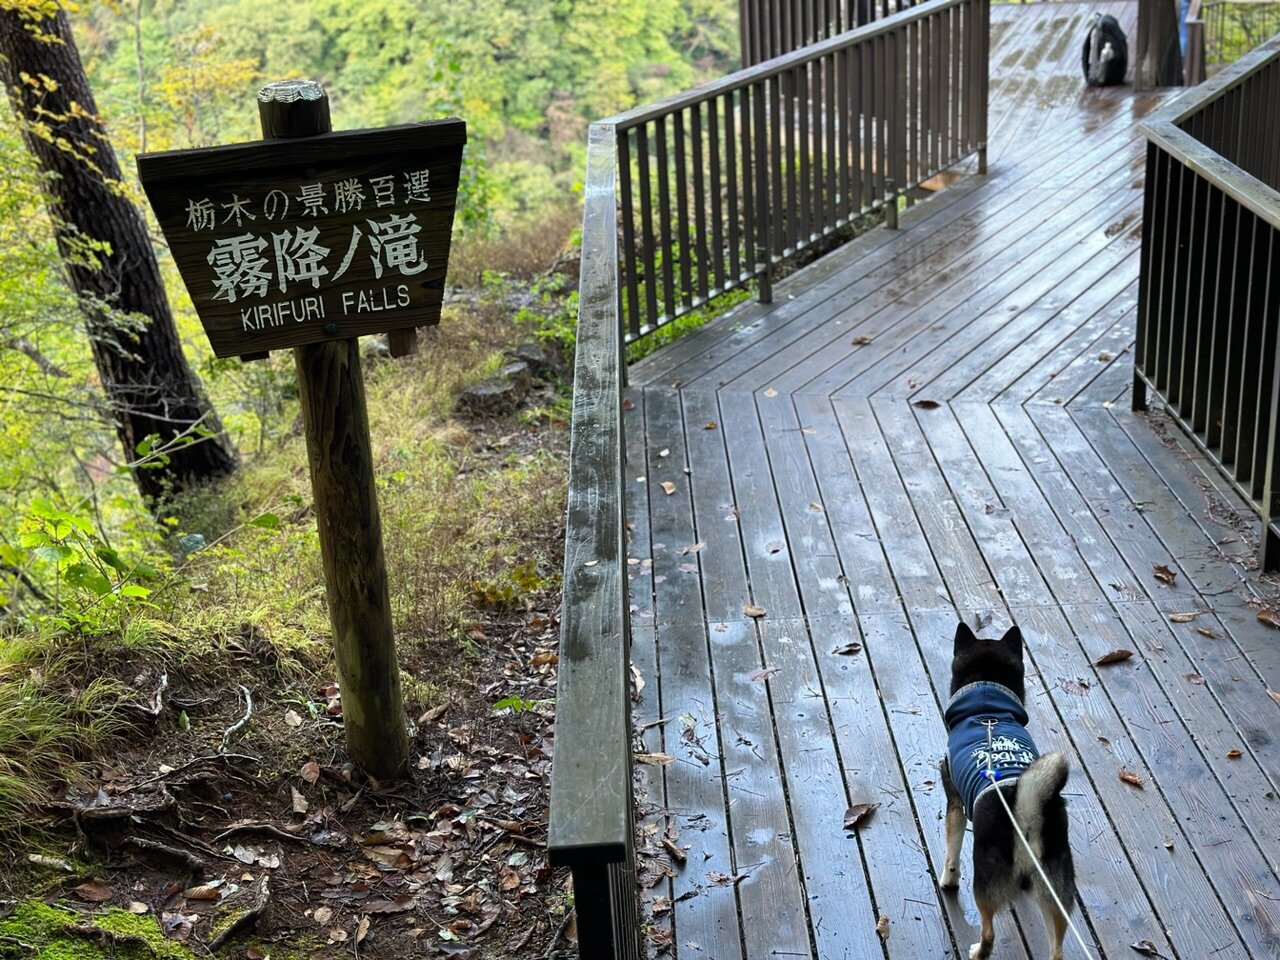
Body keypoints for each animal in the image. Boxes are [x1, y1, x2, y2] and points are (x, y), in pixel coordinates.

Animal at [936, 624, 1075, 960]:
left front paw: (948, 879)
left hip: (985, 886)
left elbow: (951, 851)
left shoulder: (955, 804)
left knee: (988, 932)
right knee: (1057, 950)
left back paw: (977, 951)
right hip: (1055, 894)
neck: (988, 709)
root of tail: (1026, 813)